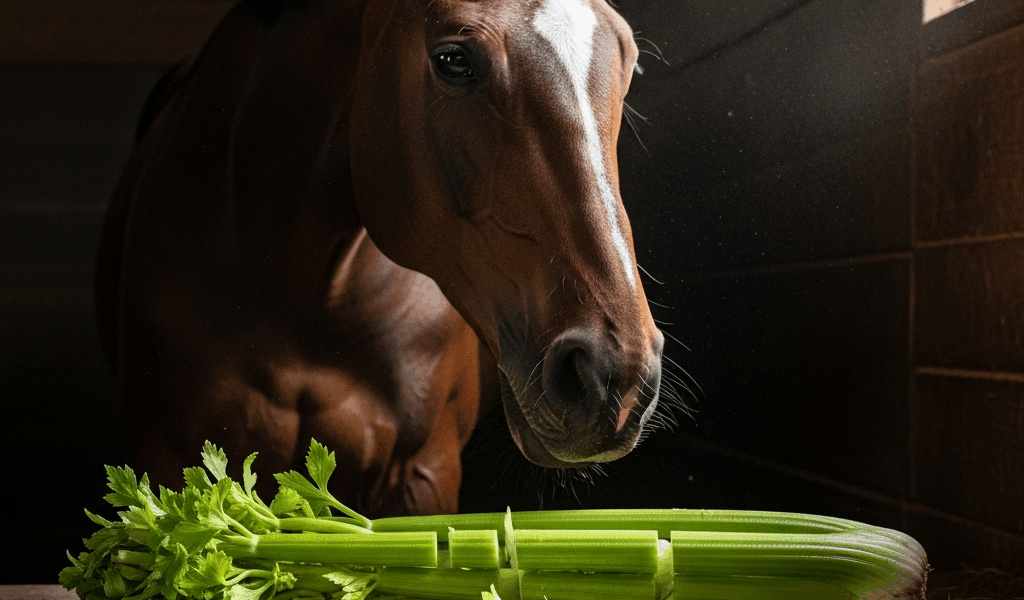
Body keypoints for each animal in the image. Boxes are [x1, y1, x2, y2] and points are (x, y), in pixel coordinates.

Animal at [96, 0, 665, 517]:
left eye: (630, 62)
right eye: (452, 60)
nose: (613, 376)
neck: (311, 300)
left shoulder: (421, 475)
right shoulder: (172, 464)